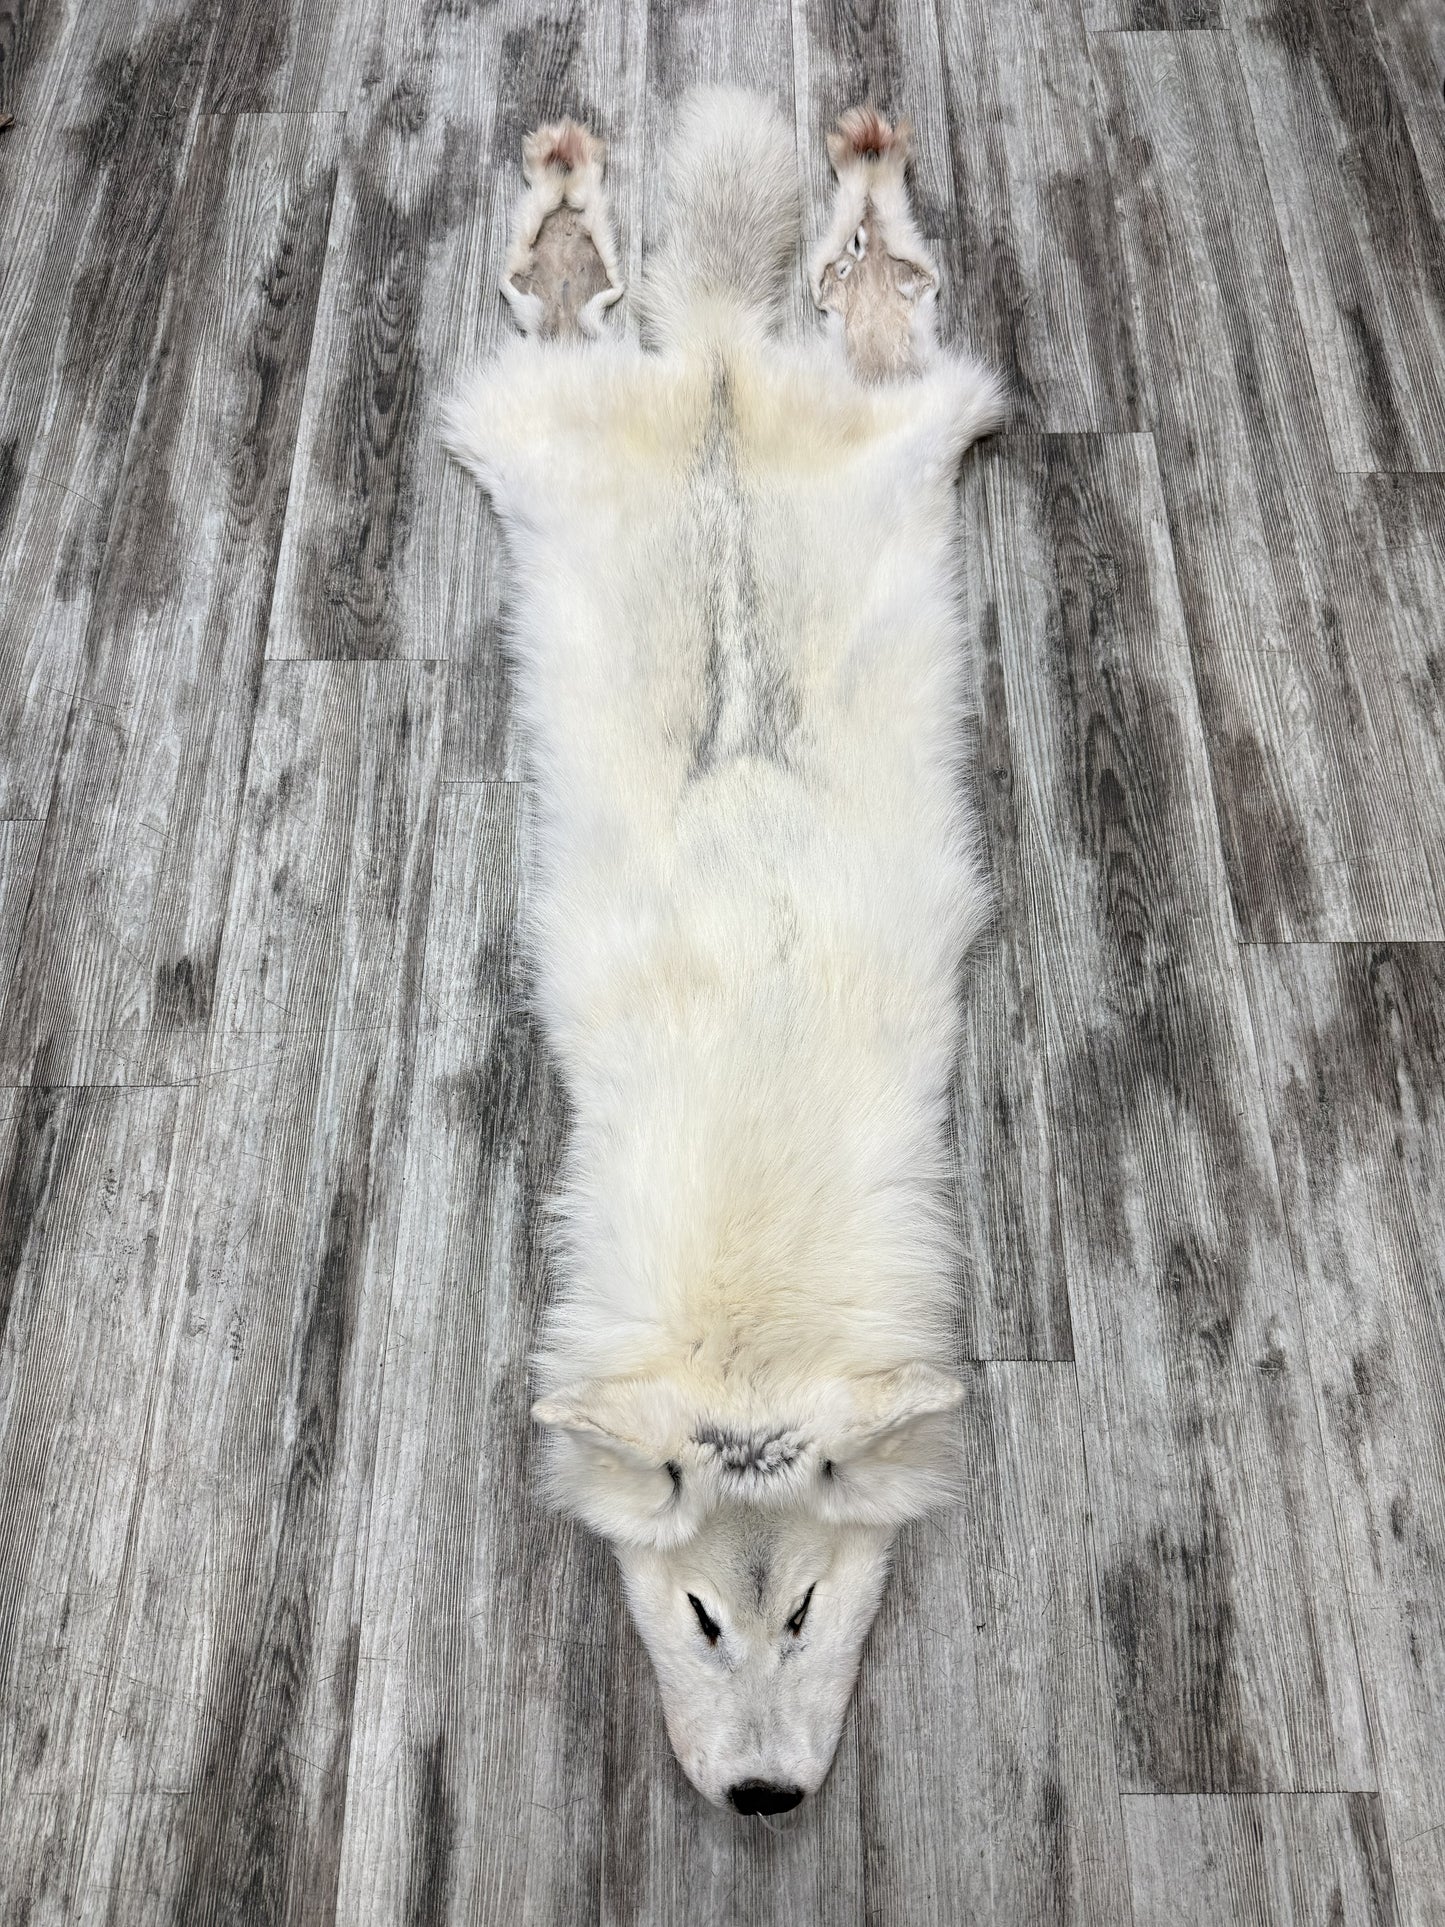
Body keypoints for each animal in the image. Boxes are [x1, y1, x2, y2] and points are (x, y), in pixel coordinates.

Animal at [442, 88, 1003, 1816]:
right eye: (700, 1616)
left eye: (804, 1604)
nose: (761, 1799)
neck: (753, 1321)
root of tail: (717, 364)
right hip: (540, 433)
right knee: (572, 311)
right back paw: (582, 207)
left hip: (891, 426)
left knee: (871, 307)